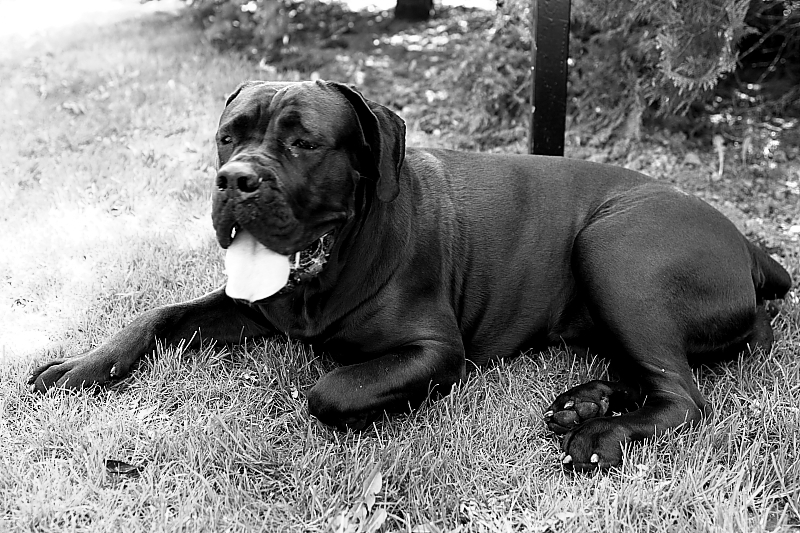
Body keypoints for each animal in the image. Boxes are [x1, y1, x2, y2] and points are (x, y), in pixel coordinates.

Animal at [28, 80, 792, 470]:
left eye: (303, 141)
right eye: (227, 135)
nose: (235, 179)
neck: (332, 265)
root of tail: (751, 245)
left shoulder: (432, 350)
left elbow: (328, 388)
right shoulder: (249, 307)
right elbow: (157, 313)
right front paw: (80, 365)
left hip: (614, 248)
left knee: (684, 395)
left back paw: (600, 433)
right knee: (652, 370)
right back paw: (588, 401)